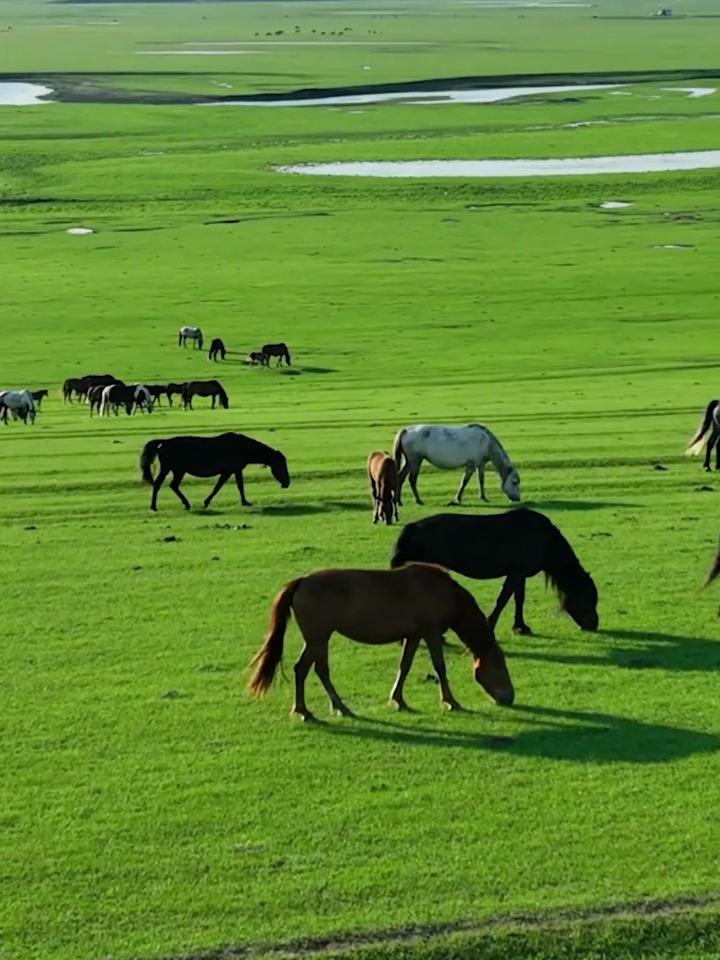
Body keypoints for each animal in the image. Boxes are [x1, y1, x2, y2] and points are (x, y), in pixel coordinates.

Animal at [139, 434, 288, 512]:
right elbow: (219, 487)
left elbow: (239, 486)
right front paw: (206, 502)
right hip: (172, 469)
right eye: (281, 465)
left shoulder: (235, 470)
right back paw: (154, 506)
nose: (287, 483)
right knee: (160, 485)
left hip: (177, 470)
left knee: (172, 485)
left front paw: (245, 502)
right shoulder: (228, 471)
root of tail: (164, 442)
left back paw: (185, 504)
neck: (242, 447)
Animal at [250, 564, 516, 720]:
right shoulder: (430, 633)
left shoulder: (414, 635)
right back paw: (337, 706)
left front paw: (398, 699)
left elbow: (404, 666)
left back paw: (303, 709)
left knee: (301, 669)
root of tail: (302, 582)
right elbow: (440, 667)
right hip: (319, 637)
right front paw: (450, 701)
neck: (445, 593)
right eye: (500, 664)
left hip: (315, 638)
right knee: (319, 670)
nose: (509, 697)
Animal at [390, 424, 520, 506]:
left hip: (409, 461)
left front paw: (483, 497)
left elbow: (481, 480)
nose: (517, 499)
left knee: (400, 478)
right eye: (514, 482)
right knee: (412, 480)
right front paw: (458, 498)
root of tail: (406, 430)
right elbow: (464, 482)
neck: (486, 442)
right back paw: (418, 500)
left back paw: (398, 501)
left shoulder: (480, 464)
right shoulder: (471, 465)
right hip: (415, 460)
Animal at [390, 510, 600, 636]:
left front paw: (520, 627)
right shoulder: (516, 573)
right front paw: (491, 625)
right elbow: (504, 599)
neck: (544, 540)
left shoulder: (519, 574)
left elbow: (518, 599)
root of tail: (411, 528)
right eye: (587, 598)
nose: (594, 624)